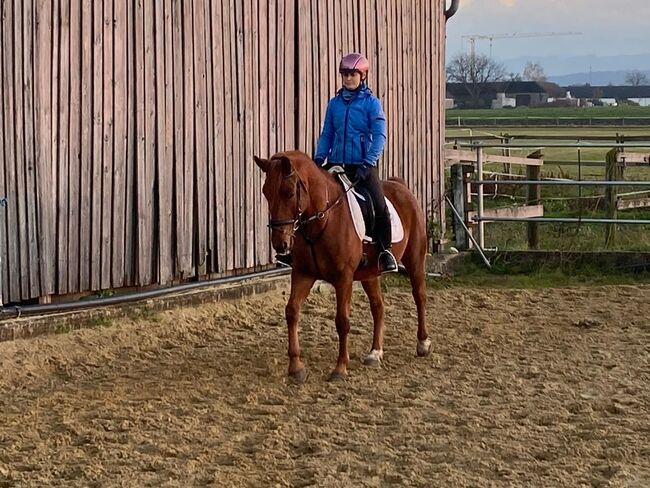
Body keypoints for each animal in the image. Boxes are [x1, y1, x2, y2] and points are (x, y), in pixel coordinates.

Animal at [254, 151, 430, 384]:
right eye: (265, 192)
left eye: (289, 193)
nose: (280, 244)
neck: (322, 220)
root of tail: (401, 187)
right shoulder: (303, 273)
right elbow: (291, 311)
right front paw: (296, 368)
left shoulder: (343, 278)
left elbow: (342, 321)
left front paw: (340, 368)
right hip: (370, 274)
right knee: (378, 306)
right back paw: (375, 353)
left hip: (415, 260)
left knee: (419, 296)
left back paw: (423, 343)